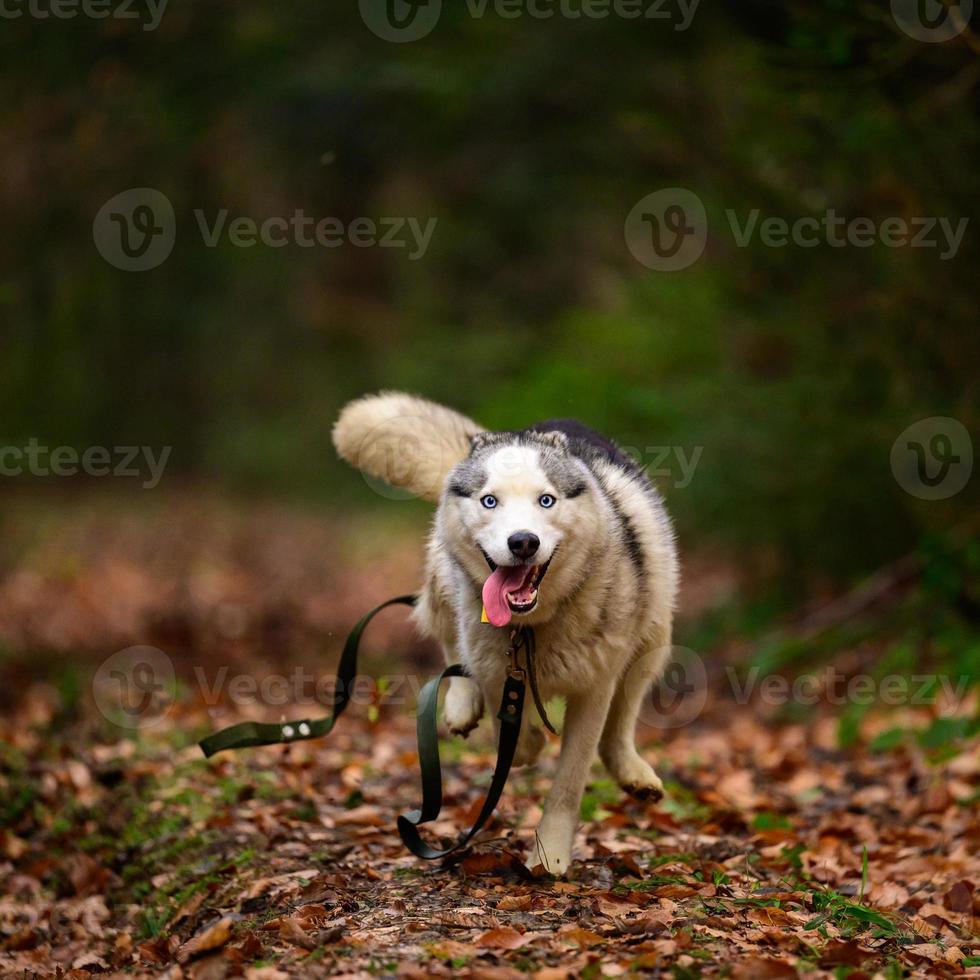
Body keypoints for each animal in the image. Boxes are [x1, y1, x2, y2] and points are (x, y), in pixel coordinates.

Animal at [334, 390, 676, 872]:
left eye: (546, 501)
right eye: (489, 501)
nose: (523, 542)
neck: (529, 628)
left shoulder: (594, 687)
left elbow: (568, 783)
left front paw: (550, 856)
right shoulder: (498, 665)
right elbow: (515, 728)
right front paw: (514, 733)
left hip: (653, 632)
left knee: (622, 719)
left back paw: (632, 770)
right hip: (444, 584)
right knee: (450, 643)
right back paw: (462, 705)